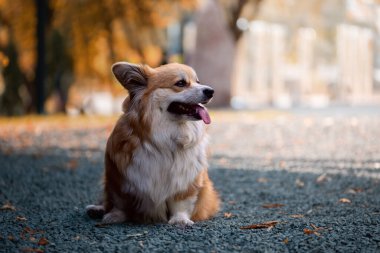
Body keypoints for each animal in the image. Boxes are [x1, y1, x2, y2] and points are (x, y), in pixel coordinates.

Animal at [86, 61, 220, 225]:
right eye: (181, 83)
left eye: (198, 82)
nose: (211, 91)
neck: (166, 137)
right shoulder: (118, 178)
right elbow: (119, 201)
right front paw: (115, 215)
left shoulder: (186, 181)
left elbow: (181, 202)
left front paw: (180, 220)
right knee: (106, 201)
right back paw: (97, 209)